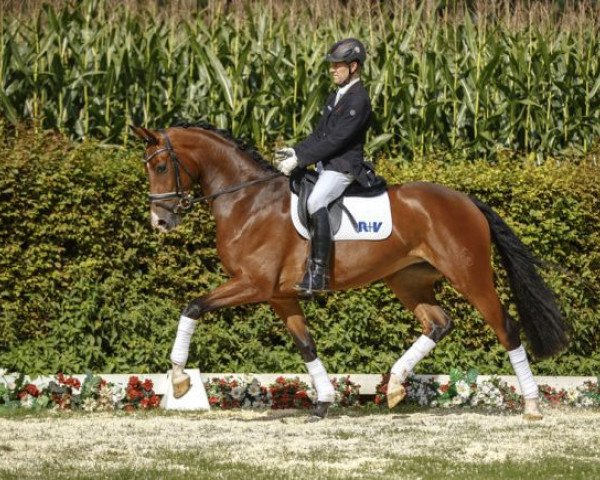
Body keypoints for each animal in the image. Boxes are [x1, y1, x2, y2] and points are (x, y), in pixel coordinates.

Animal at [129, 123, 568, 420]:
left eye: (163, 165)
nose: (160, 222)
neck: (248, 201)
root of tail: (466, 201)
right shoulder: (279, 296)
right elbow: (306, 346)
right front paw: (324, 401)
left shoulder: (252, 284)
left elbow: (193, 307)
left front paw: (180, 378)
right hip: (407, 280)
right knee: (439, 323)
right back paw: (394, 386)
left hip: (470, 276)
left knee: (505, 328)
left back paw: (531, 405)